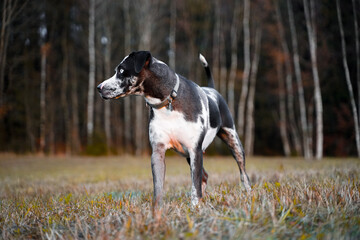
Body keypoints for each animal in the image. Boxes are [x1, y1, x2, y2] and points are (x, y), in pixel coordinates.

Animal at [97, 51, 252, 207]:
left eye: (121, 71)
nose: (99, 87)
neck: (168, 103)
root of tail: (212, 89)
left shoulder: (195, 150)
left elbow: (195, 185)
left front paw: (195, 206)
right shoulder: (158, 152)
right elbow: (158, 187)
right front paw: (157, 210)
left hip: (233, 142)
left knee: (243, 173)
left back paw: (248, 192)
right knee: (204, 176)